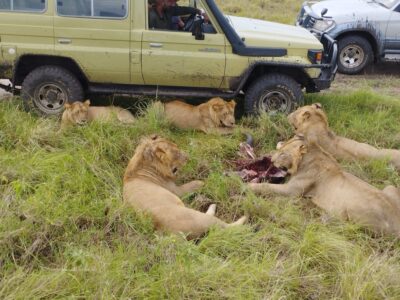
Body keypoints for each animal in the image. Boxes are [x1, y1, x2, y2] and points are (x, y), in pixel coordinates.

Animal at [248, 135, 400, 237]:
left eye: (283, 154)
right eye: (279, 150)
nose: (272, 161)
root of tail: (396, 219)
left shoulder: (292, 191)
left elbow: (267, 187)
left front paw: (248, 186)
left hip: (353, 208)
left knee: (348, 227)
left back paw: (323, 216)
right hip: (390, 187)